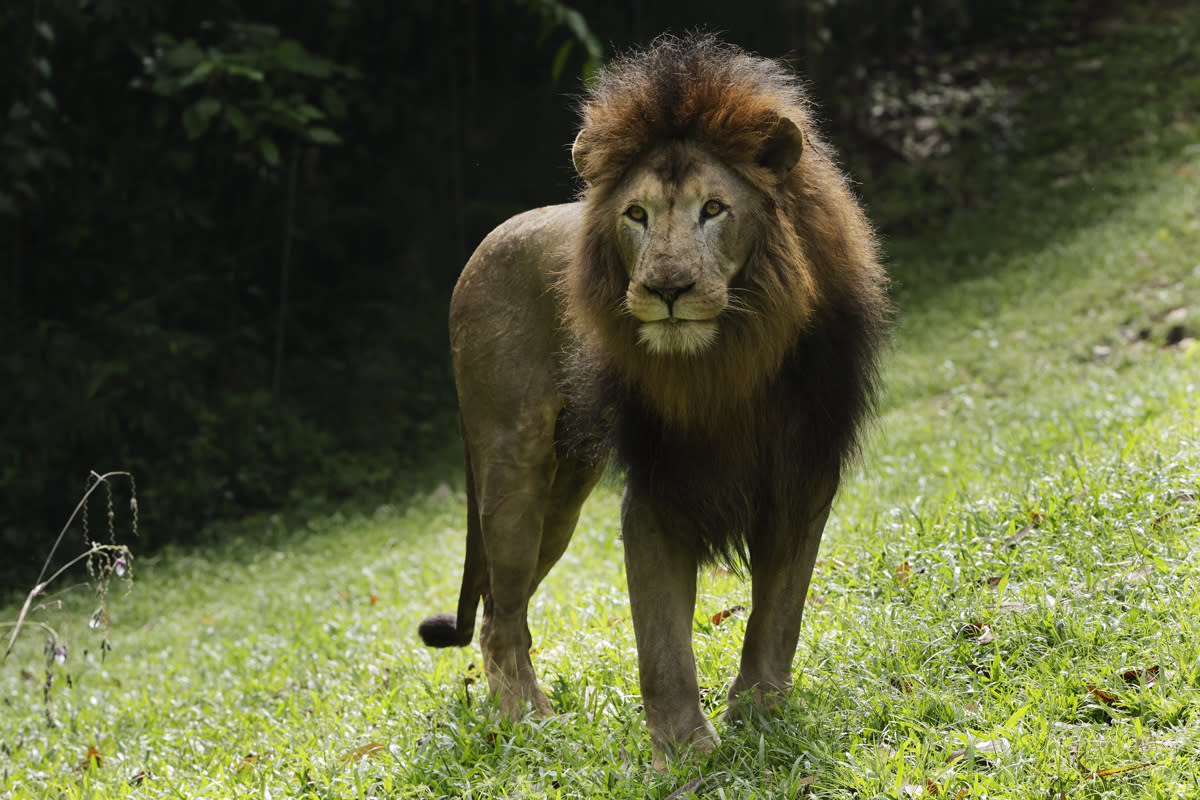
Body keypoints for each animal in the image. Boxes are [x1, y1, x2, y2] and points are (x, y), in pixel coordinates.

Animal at [417, 32, 888, 767]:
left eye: (714, 209)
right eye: (636, 215)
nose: (666, 288)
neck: (727, 360)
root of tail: (489, 239)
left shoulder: (804, 475)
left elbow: (778, 614)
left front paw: (760, 714)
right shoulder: (660, 490)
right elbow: (662, 642)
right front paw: (686, 750)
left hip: (563, 495)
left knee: (499, 602)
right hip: (513, 463)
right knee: (500, 619)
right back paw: (529, 724)